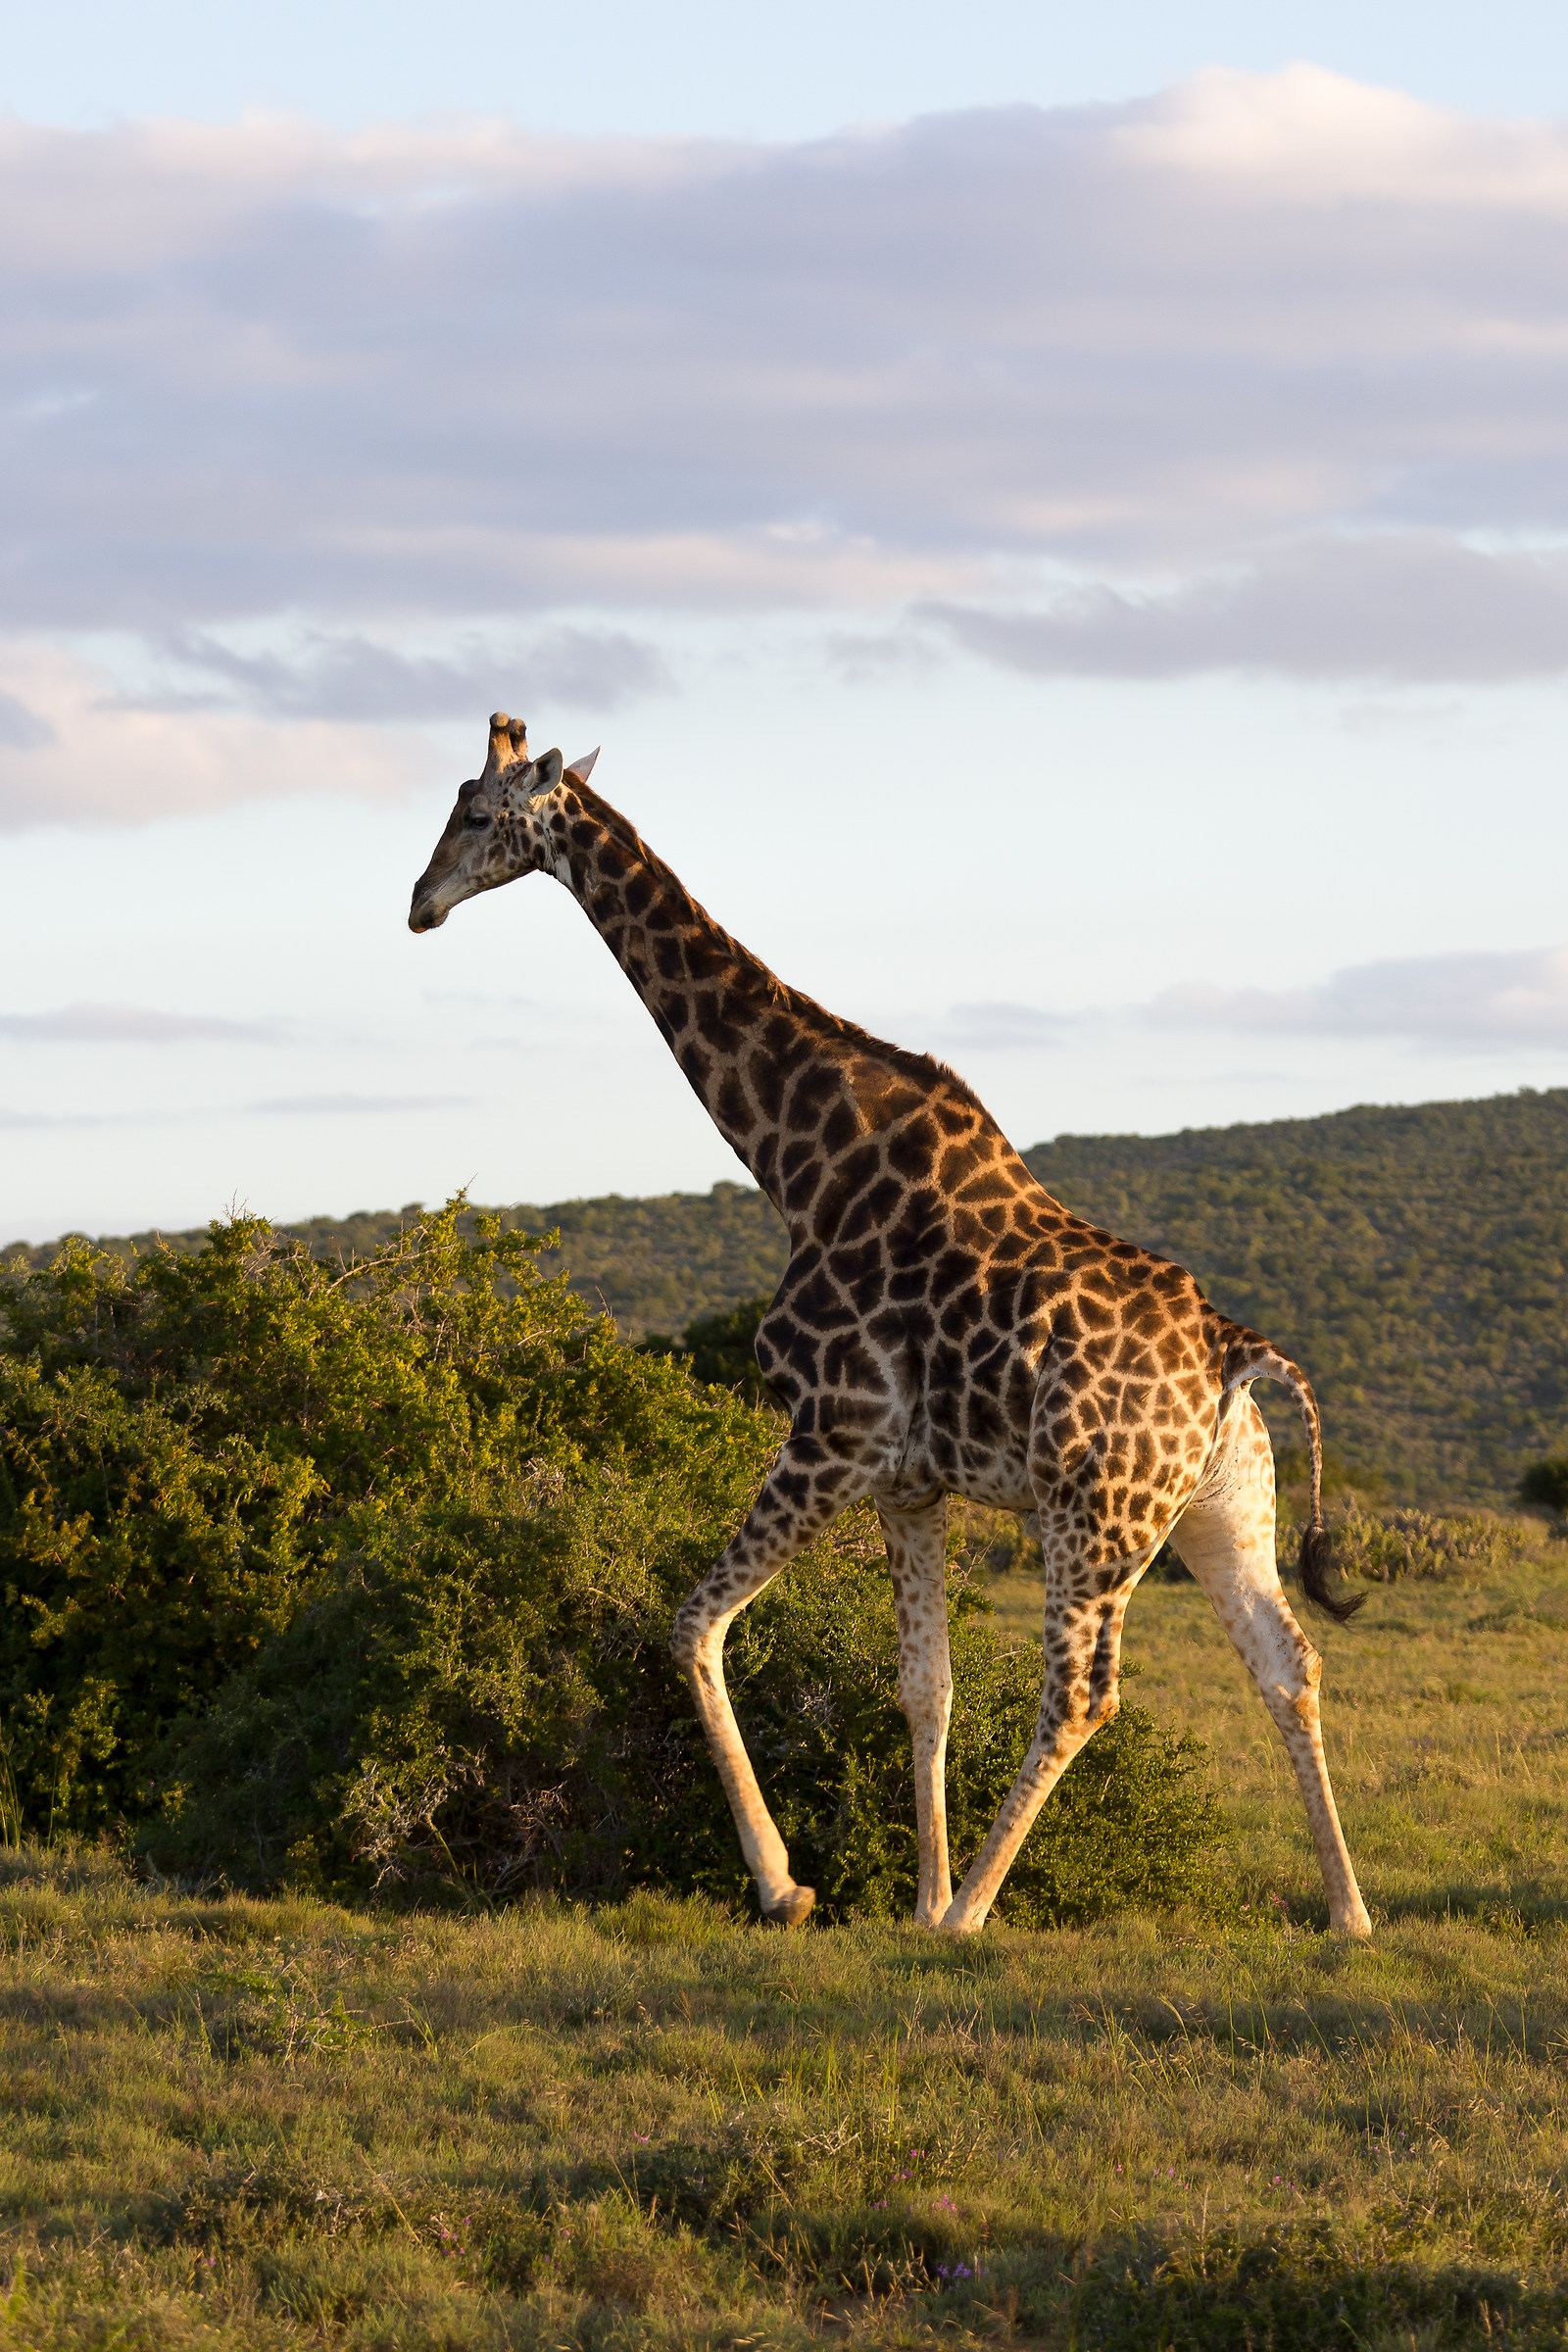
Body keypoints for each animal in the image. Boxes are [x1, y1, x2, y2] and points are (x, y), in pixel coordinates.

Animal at [409, 714, 1372, 1941]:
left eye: (479, 814)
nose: (419, 903)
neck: (798, 1164)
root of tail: (1235, 1354)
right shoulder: (908, 1483)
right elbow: (924, 1686)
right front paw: (913, 1899)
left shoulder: (834, 1434)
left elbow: (692, 1624)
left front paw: (791, 1886)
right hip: (1216, 1509)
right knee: (1286, 1663)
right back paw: (1345, 1912)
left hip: (1094, 1513)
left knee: (1082, 1694)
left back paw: (978, 1914)